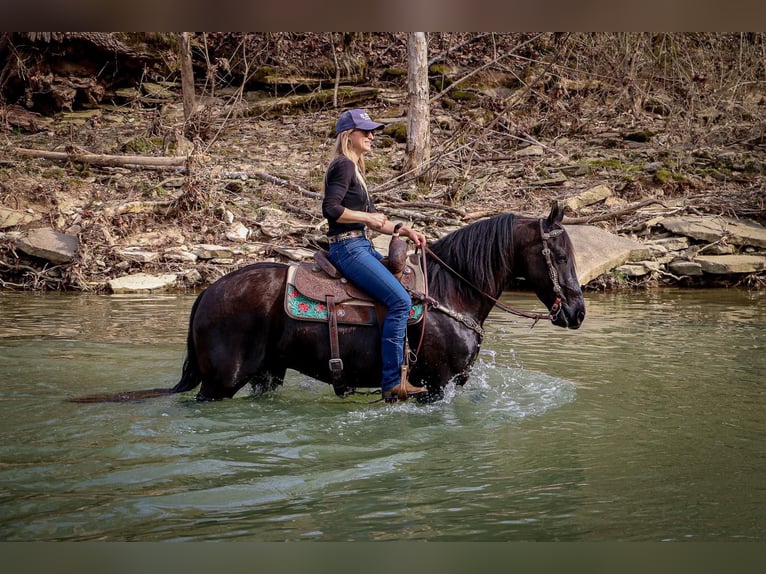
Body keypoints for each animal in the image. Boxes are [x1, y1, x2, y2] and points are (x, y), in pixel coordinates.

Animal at [73, 202, 588, 404]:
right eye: (561, 255)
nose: (578, 313)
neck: (449, 292)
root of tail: (207, 292)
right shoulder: (437, 386)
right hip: (221, 382)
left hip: (266, 374)